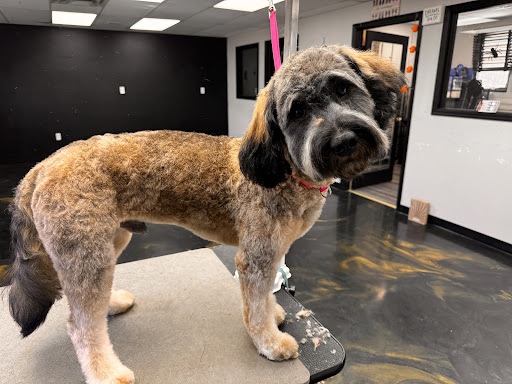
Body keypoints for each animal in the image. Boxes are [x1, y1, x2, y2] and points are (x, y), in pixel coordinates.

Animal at [3, 45, 404, 384]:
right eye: (298, 112)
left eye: (342, 90)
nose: (343, 140)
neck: (284, 168)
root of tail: (40, 168)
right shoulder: (255, 257)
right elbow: (254, 307)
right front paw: (270, 342)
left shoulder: (273, 253)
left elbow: (263, 297)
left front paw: (273, 313)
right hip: (85, 253)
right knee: (80, 325)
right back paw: (106, 373)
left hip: (108, 241)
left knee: (89, 305)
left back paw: (112, 304)